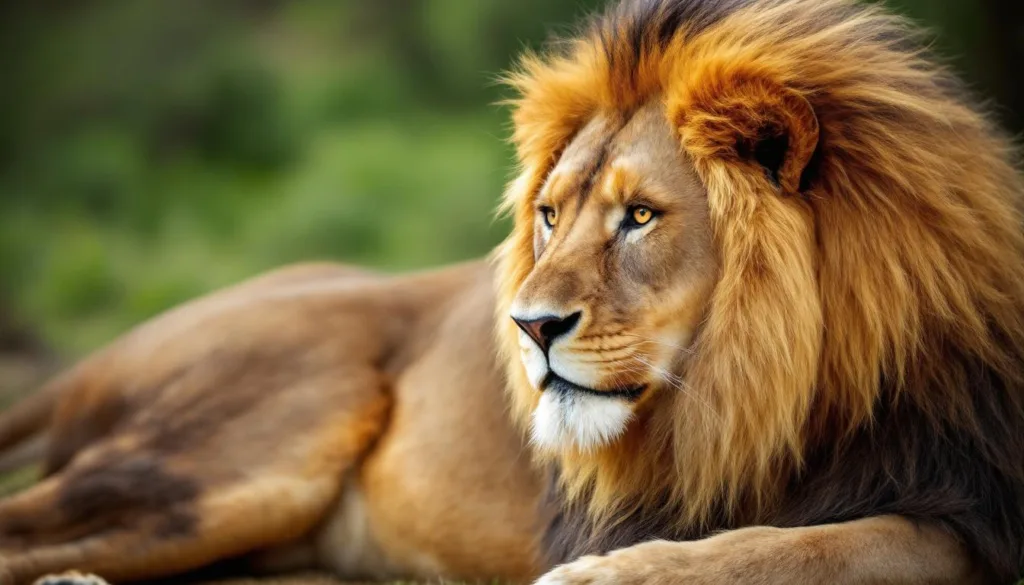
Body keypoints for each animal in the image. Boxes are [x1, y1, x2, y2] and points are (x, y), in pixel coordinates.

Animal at [1, 0, 1023, 584]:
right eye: (549, 214)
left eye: (640, 217)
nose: (529, 326)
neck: (794, 383)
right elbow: (820, 543)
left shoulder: (968, 493)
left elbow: (826, 541)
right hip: (226, 464)